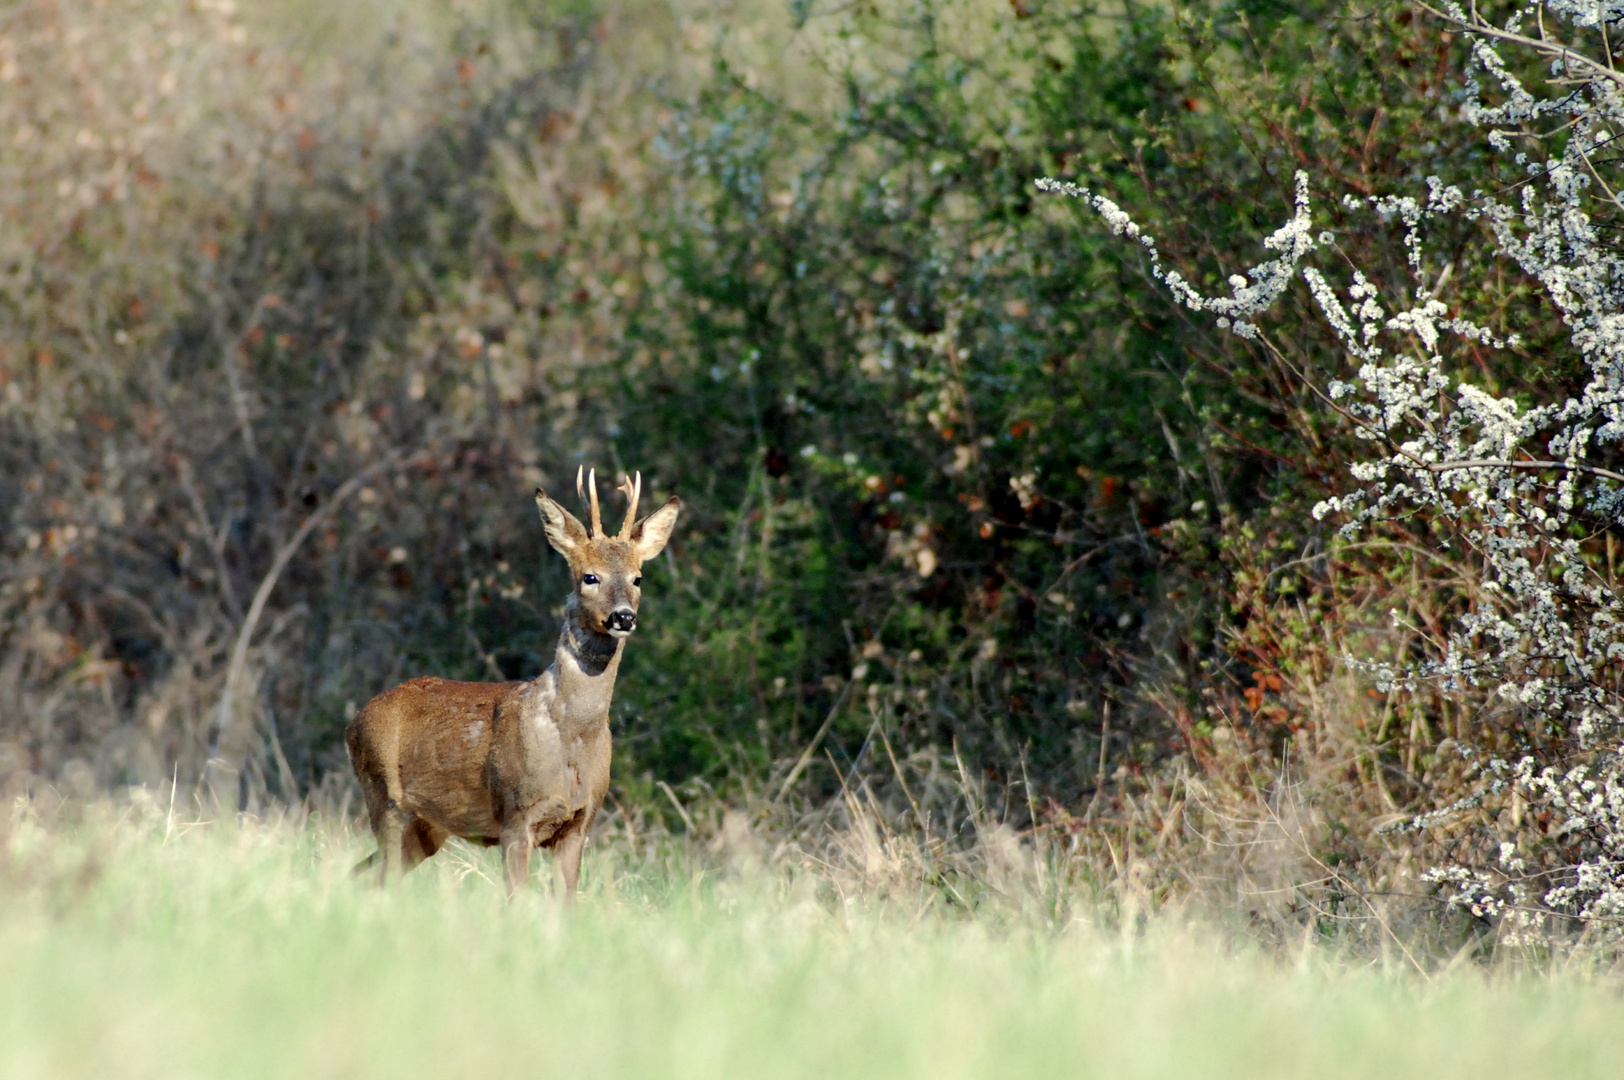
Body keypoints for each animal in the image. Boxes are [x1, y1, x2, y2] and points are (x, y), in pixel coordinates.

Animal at [349, 467, 678, 896]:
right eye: (590, 576)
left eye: (638, 578)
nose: (624, 617)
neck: (572, 736)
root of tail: (353, 723)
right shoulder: (515, 815)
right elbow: (516, 899)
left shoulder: (580, 823)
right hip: (385, 800)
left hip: (426, 830)